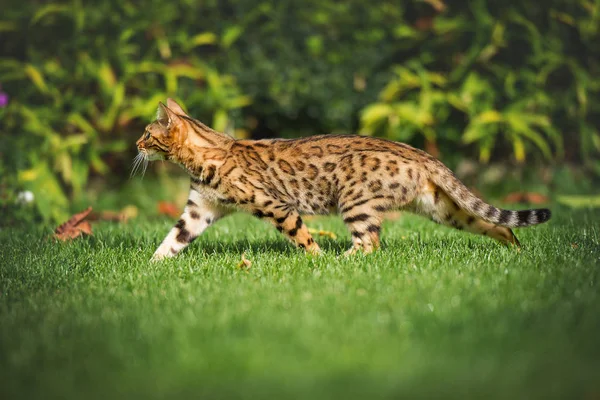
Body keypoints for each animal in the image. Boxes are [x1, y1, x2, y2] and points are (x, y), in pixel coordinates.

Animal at [138, 99, 552, 260]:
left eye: (146, 133)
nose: (137, 145)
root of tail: (419, 153)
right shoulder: (199, 210)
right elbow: (173, 240)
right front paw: (151, 269)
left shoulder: (277, 206)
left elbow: (302, 237)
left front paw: (318, 260)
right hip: (441, 207)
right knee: (495, 223)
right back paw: (516, 249)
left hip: (354, 201)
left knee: (370, 243)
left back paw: (342, 260)